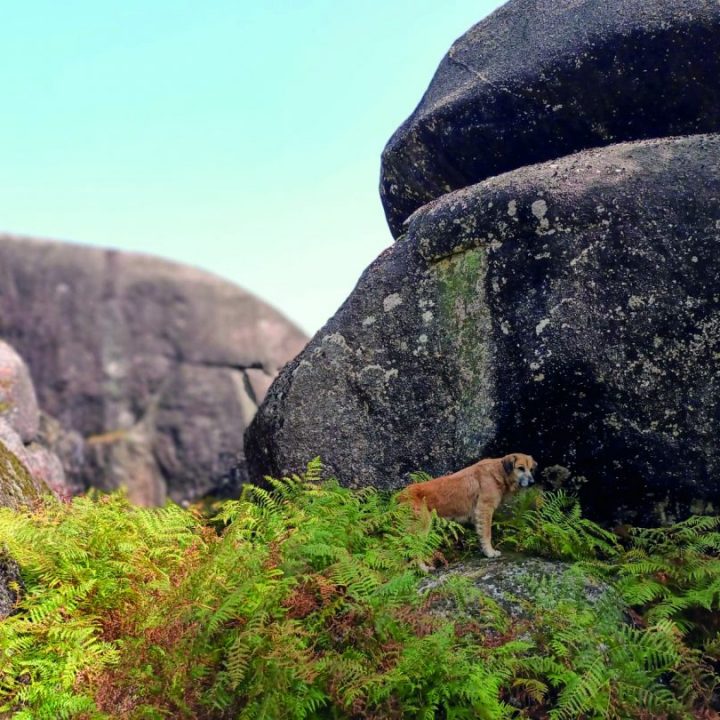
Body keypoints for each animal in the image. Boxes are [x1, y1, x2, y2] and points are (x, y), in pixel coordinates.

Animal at [400, 452, 536, 560]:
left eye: (531, 469)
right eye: (521, 468)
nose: (532, 482)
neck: (498, 472)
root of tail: (399, 495)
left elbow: (481, 534)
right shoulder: (484, 509)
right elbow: (487, 533)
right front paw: (490, 552)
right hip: (422, 527)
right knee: (414, 550)